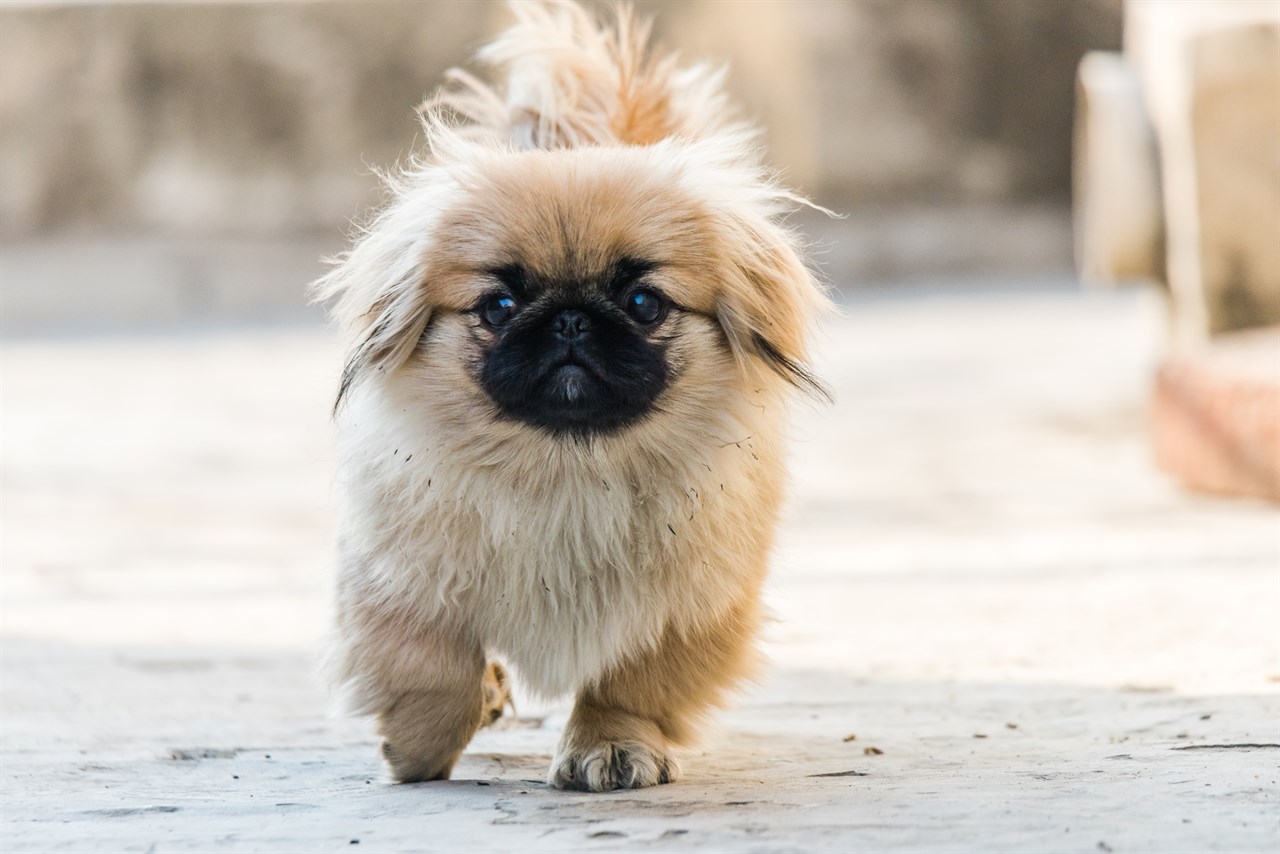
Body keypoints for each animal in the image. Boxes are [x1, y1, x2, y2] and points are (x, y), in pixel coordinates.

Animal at [311, 0, 829, 793]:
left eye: (643, 302)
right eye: (498, 306)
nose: (571, 320)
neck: (568, 474)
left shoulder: (685, 607)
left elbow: (631, 682)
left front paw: (608, 747)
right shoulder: (396, 579)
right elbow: (432, 669)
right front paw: (419, 750)